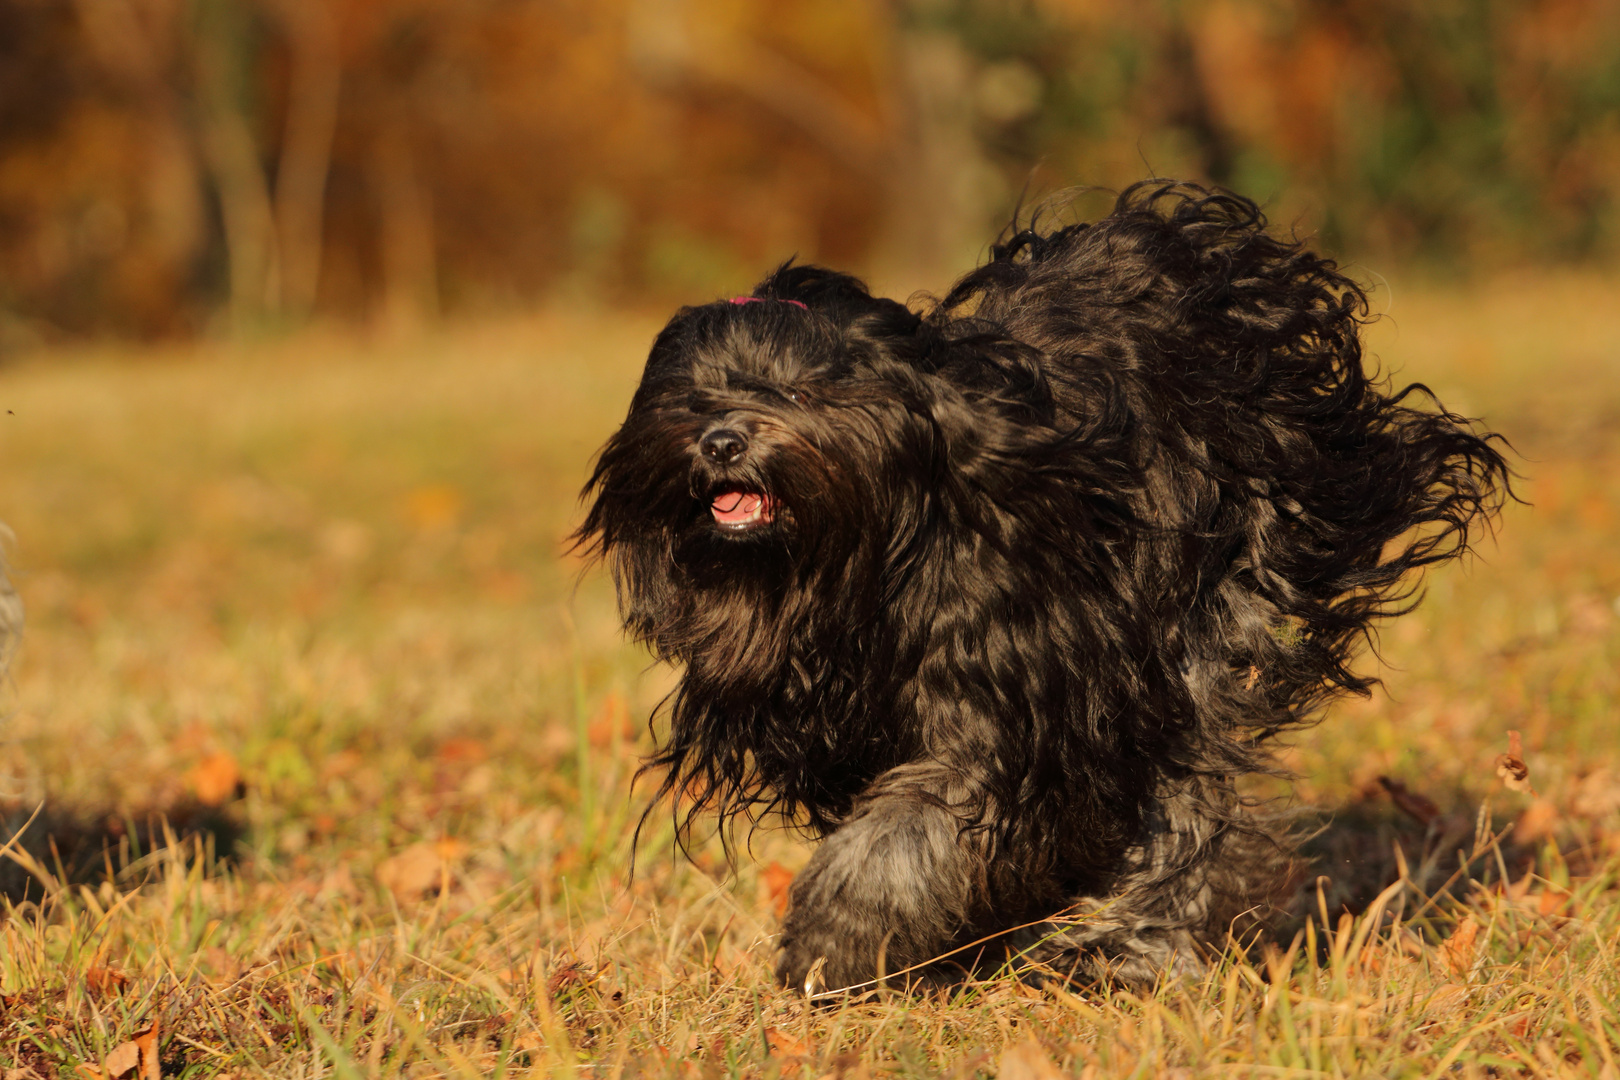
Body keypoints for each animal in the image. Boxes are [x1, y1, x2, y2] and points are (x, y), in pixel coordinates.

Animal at [579, 181, 1503, 990]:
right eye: (689, 401)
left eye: (798, 391)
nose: (723, 441)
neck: (858, 560)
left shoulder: (1011, 686)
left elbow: (911, 827)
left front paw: (832, 942)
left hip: (1222, 608)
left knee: (1191, 801)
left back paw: (1135, 948)